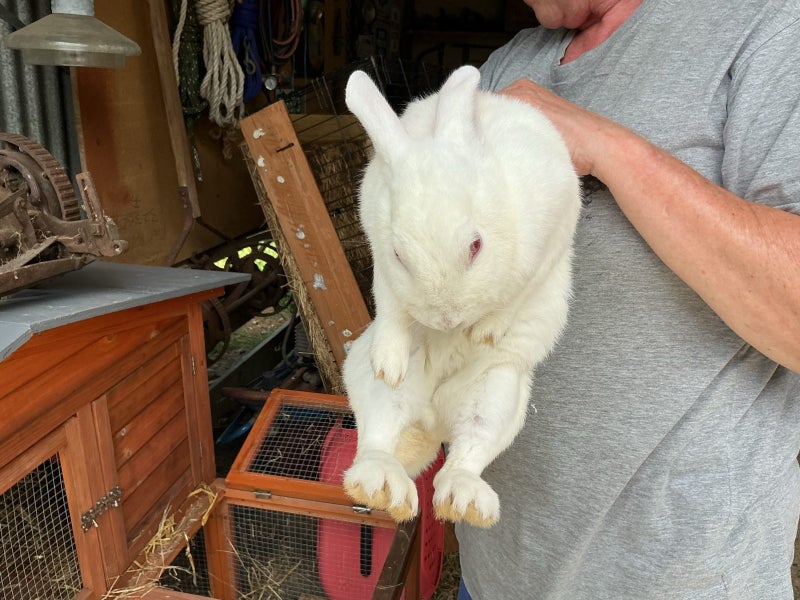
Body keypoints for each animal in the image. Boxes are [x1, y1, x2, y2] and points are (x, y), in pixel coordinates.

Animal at [341, 65, 581, 528]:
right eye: (400, 255)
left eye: (475, 245)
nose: (447, 320)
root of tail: (433, 420)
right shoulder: (379, 255)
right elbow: (390, 303)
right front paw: (390, 359)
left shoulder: (549, 240)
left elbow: (520, 291)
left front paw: (486, 332)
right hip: (373, 384)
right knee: (377, 437)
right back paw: (384, 488)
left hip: (498, 393)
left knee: (467, 455)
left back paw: (465, 501)